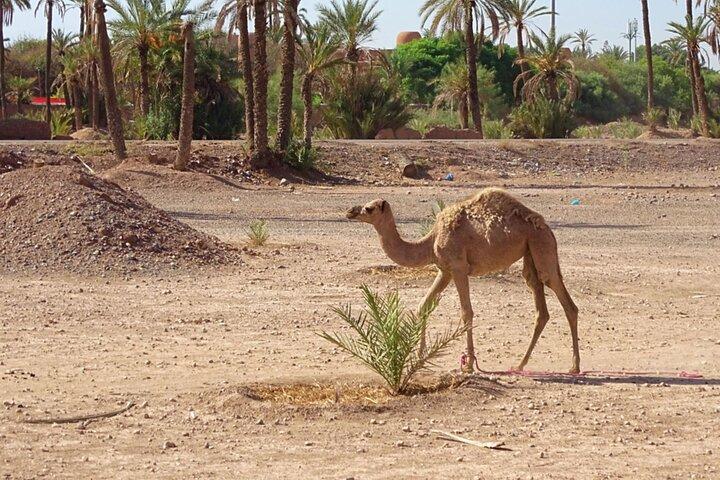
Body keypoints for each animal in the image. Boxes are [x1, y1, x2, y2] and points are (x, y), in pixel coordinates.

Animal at [346, 188, 580, 374]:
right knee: (541, 307)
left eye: (369, 209)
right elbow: (424, 305)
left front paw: (468, 365)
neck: (430, 241)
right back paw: (520, 364)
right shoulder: (445, 271)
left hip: (541, 246)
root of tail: (548, 228)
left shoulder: (458, 268)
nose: (350, 212)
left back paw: (574, 366)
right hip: (530, 252)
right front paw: (420, 358)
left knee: (564, 299)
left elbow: (466, 312)